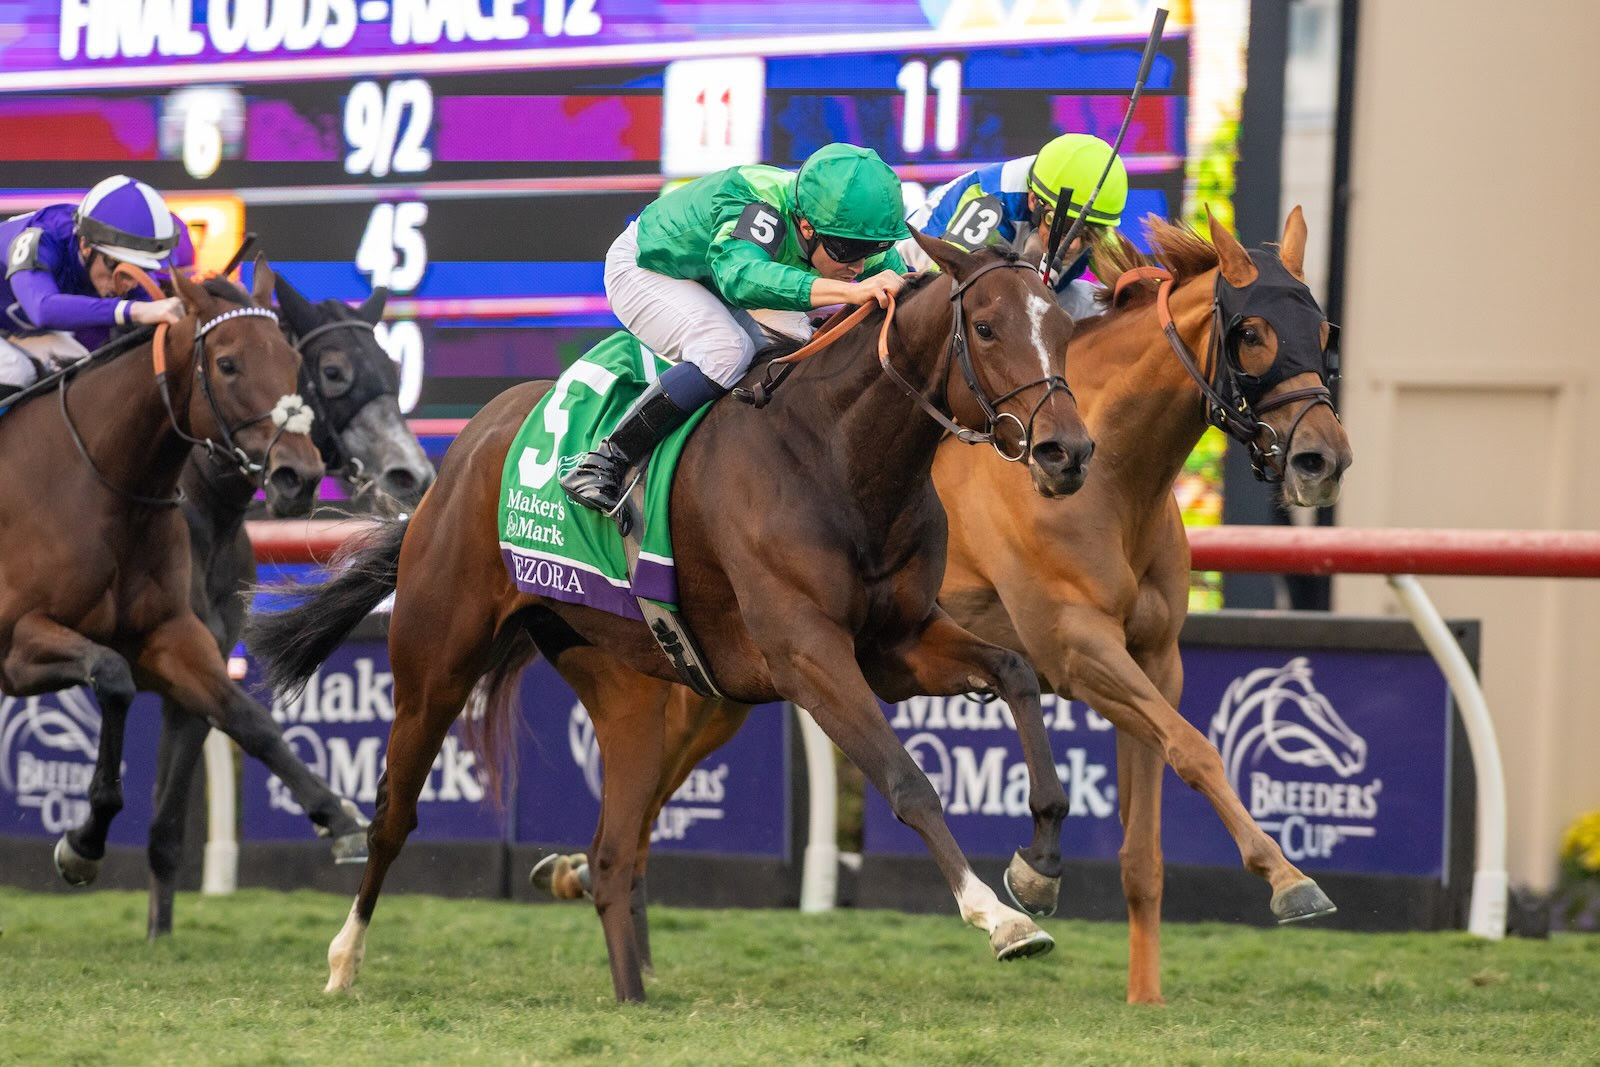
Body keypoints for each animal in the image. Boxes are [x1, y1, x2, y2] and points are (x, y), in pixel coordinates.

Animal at [0, 260, 369, 889]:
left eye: (291, 361)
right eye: (227, 364)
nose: (298, 475)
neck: (97, 488)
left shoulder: (172, 635)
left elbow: (247, 717)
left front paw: (338, 816)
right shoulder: (16, 646)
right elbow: (112, 675)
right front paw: (84, 843)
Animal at [134, 275, 435, 938]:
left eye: (394, 369)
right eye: (332, 371)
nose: (412, 476)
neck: (201, 510)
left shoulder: (196, 667)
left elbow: (168, 819)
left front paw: (157, 935)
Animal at [245, 232, 1097, 1003]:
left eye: (1062, 323)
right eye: (985, 326)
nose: (1068, 451)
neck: (835, 454)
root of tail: (457, 457)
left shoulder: (896, 644)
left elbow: (1017, 673)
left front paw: (1040, 867)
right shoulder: (808, 655)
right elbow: (909, 780)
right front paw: (998, 917)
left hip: (623, 688)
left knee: (614, 851)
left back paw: (632, 997)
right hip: (434, 665)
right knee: (394, 815)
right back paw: (343, 961)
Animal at [529, 210, 1354, 1004]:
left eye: (1325, 332)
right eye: (1253, 332)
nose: (1324, 457)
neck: (1116, 474)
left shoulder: (1156, 655)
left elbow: (1148, 837)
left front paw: (1142, 989)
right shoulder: (1078, 650)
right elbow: (1195, 746)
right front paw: (1288, 877)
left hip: (726, 683)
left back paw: (582, 875)